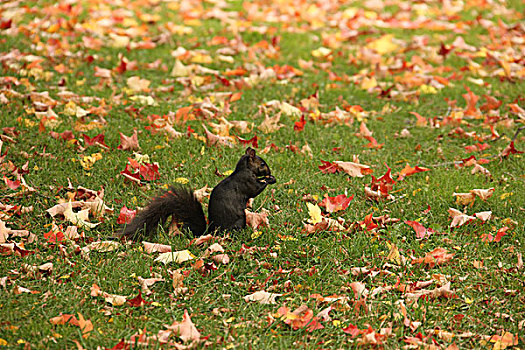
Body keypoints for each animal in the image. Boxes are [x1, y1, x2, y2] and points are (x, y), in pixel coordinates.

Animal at [116, 148, 276, 241]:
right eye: (262, 164)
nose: (269, 171)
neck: (244, 169)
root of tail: (211, 231)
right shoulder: (247, 182)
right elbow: (255, 190)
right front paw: (270, 179)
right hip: (239, 220)